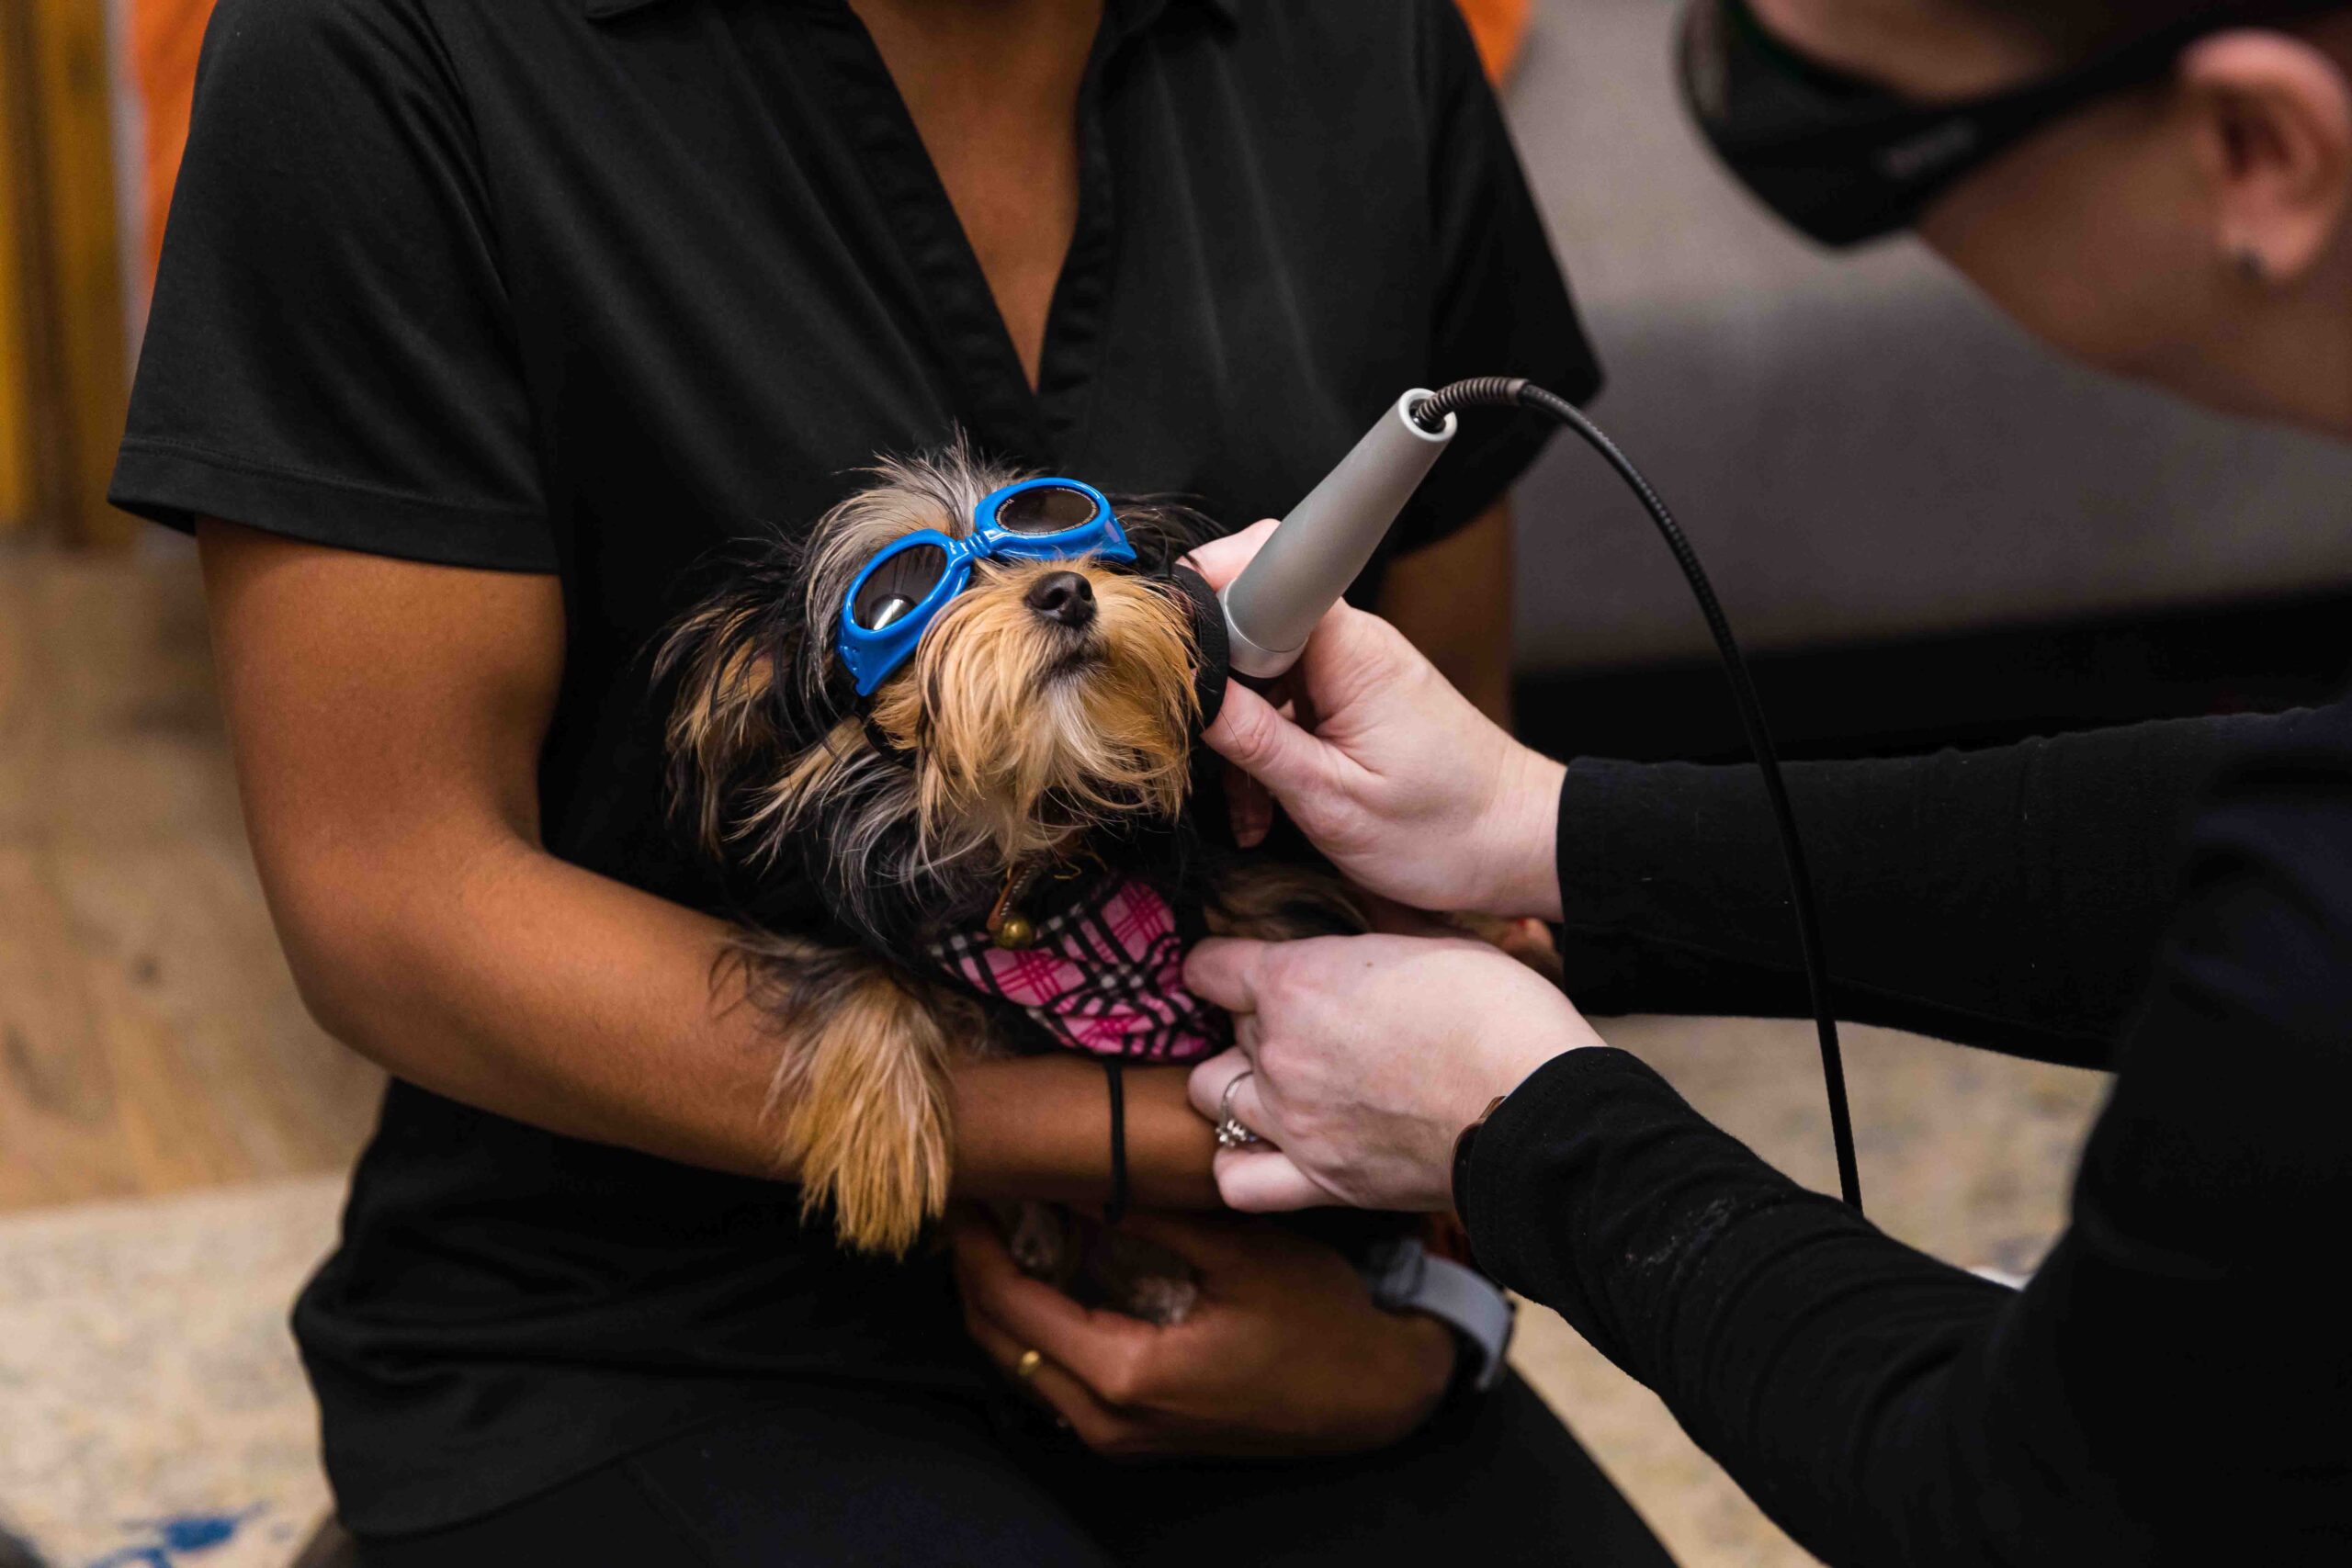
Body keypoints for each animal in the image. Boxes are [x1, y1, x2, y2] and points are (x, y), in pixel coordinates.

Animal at [658, 442, 1363, 1297]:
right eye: (897, 602)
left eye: (1061, 533)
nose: (1066, 589)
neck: (1028, 850)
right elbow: (861, 961)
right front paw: (883, 1141)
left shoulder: (1255, 897)